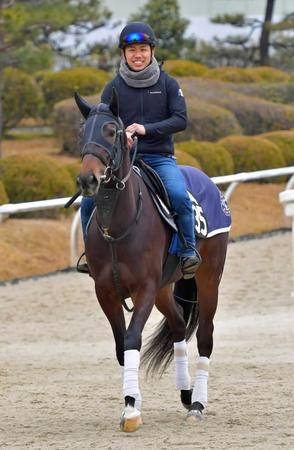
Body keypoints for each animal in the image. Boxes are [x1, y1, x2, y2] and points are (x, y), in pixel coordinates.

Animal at [73, 89, 230, 432]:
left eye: (111, 131)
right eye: (81, 132)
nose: (87, 180)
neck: (119, 225)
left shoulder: (144, 288)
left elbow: (133, 339)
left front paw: (132, 408)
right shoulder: (106, 291)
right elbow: (121, 346)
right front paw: (131, 402)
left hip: (209, 278)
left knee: (205, 336)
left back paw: (197, 403)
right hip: (164, 289)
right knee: (178, 326)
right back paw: (185, 393)